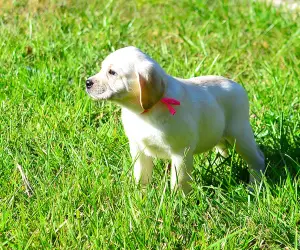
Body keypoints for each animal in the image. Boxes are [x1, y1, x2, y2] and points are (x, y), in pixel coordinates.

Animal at [86, 46, 264, 193]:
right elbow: (141, 175)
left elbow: (179, 182)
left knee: (257, 160)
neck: (143, 113)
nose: (87, 82)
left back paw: (254, 186)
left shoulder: (181, 153)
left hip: (240, 135)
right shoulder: (138, 148)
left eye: (112, 72)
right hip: (219, 131)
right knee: (222, 148)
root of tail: (237, 85)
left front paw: (179, 202)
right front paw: (140, 195)